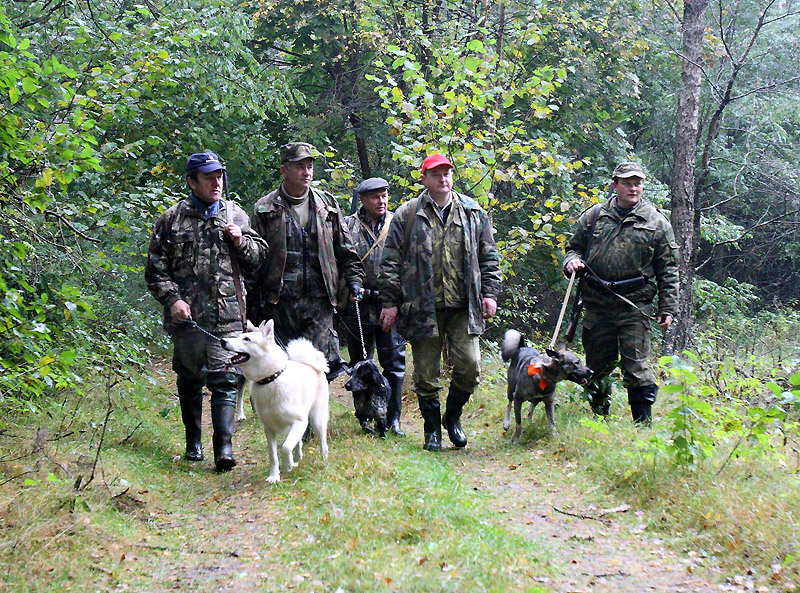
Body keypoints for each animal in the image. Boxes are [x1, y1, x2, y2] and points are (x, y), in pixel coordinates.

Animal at [222, 320, 328, 480]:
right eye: (240, 336)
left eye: (247, 339)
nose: (222, 340)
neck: (270, 379)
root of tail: (312, 366)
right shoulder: (269, 428)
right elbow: (273, 455)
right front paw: (274, 476)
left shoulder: (299, 422)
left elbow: (285, 447)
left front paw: (287, 465)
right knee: (297, 443)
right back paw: (297, 456)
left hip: (317, 418)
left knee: (322, 440)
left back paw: (324, 459)